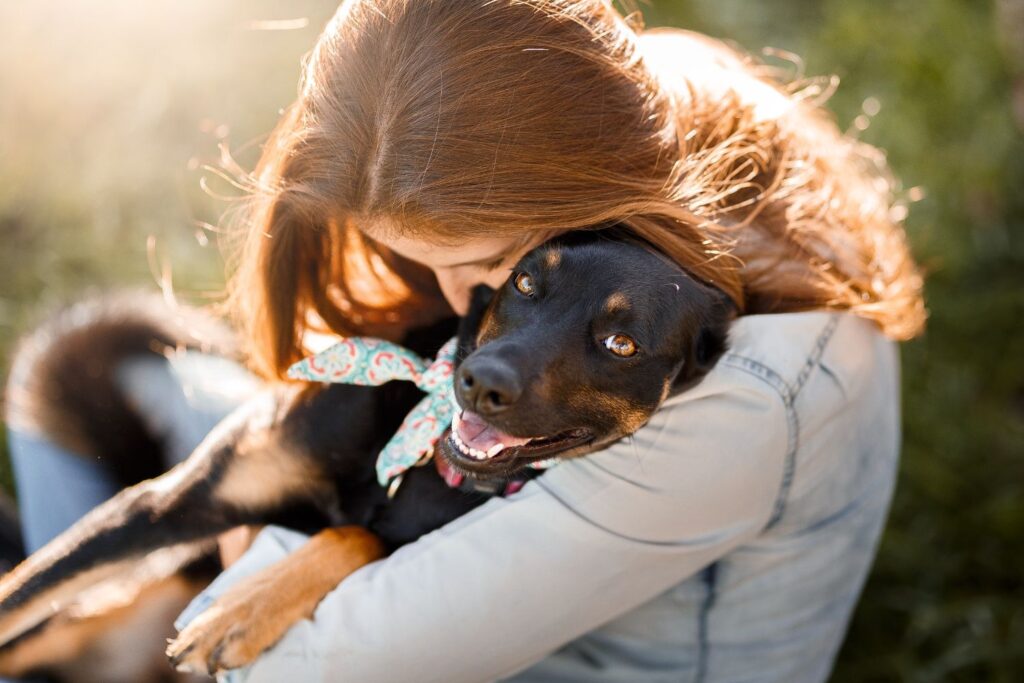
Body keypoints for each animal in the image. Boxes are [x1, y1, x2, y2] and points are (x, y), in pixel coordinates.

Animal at [0, 229, 737, 679]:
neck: (415, 450)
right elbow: (20, 595)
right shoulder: (169, 503)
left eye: (621, 344)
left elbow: (357, 535)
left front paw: (247, 605)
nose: (479, 382)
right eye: (526, 283)